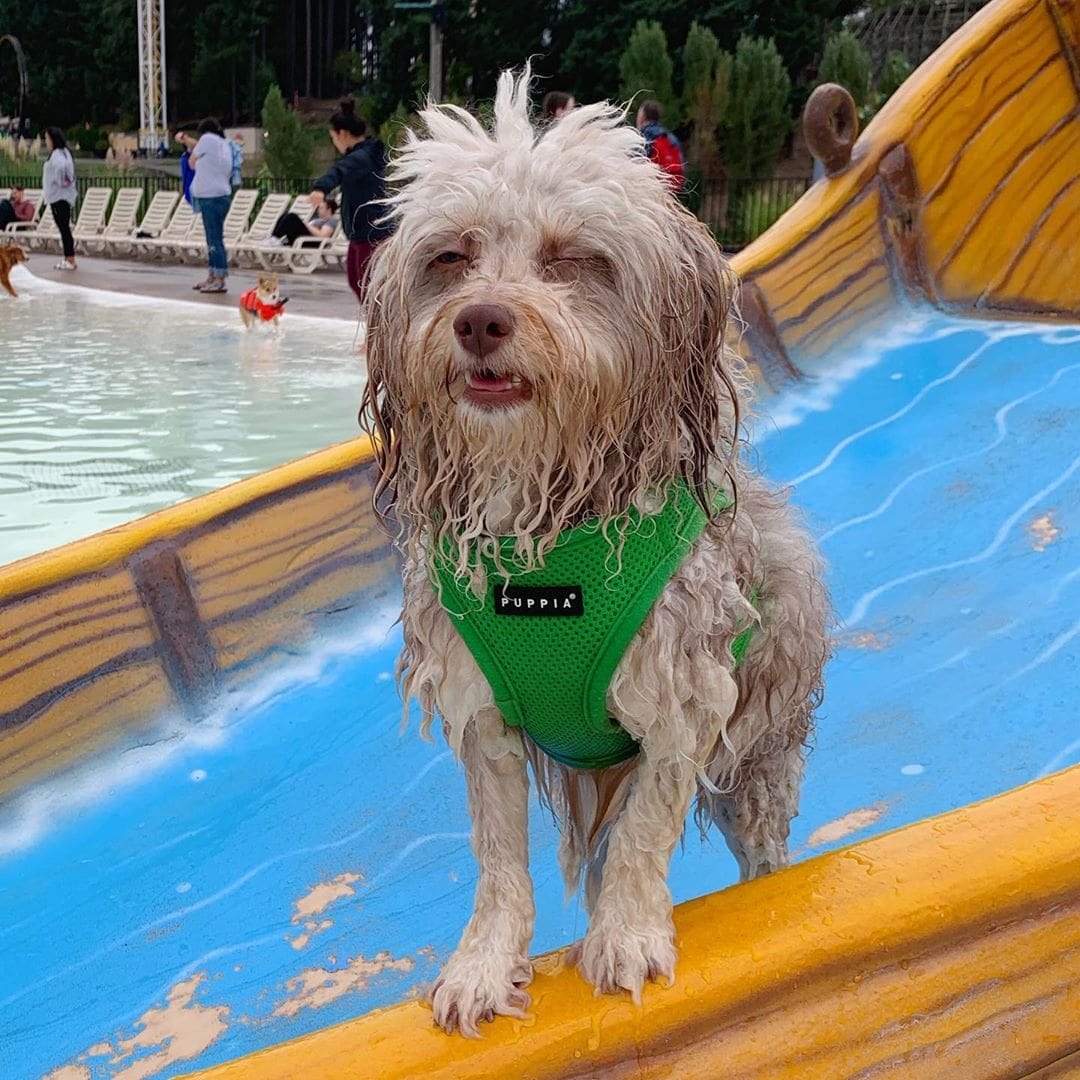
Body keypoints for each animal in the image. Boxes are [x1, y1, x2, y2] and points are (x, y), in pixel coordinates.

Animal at [360, 71, 825, 1032]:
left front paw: (629, 935)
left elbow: (649, 825)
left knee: (755, 840)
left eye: (572, 258)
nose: (480, 321)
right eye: (451, 257)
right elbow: (499, 855)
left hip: (765, 741)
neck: (545, 530)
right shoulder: (482, 710)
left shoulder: (682, 690)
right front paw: (483, 964)